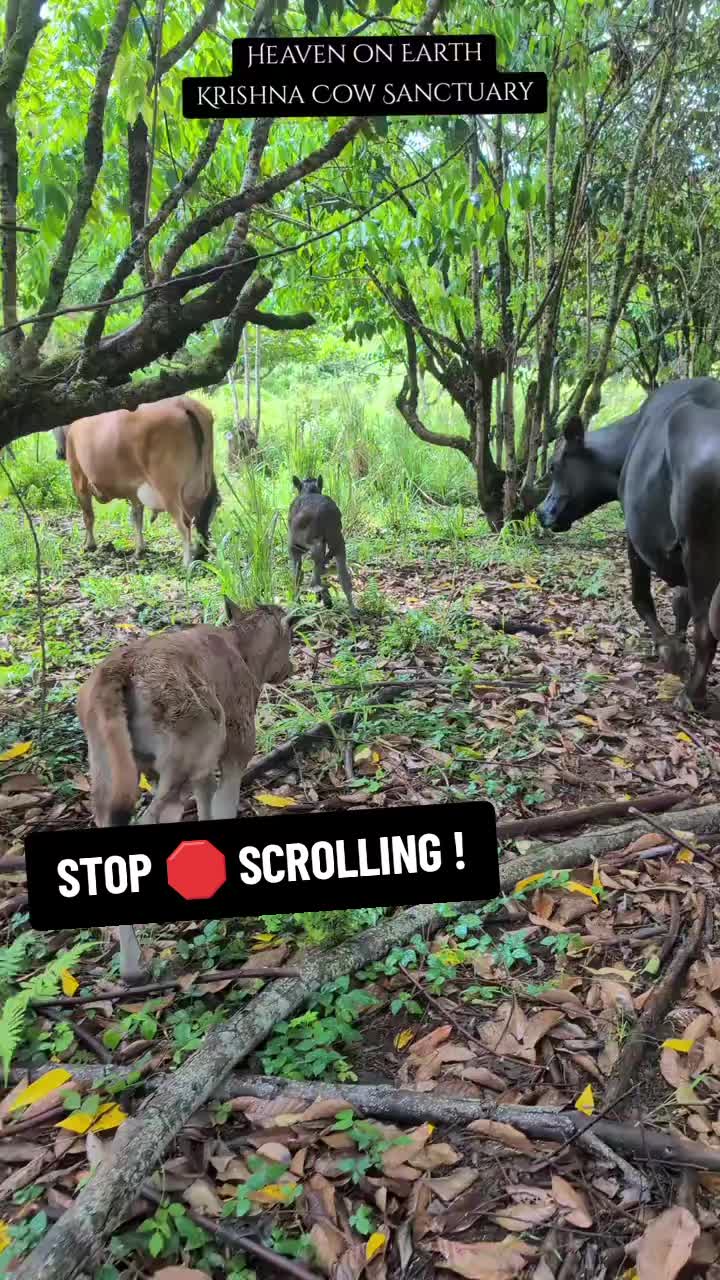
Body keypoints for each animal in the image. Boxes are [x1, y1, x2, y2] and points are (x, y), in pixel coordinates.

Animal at [64, 395, 220, 566]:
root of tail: (183, 403)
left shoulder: (78, 477)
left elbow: (88, 515)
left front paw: (89, 545)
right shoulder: (134, 489)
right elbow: (136, 517)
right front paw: (140, 550)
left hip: (167, 487)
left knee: (184, 524)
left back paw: (186, 563)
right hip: (205, 478)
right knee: (205, 516)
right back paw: (200, 554)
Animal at [536, 377, 720, 716]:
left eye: (554, 466)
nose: (543, 513)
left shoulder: (637, 537)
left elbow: (642, 598)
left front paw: (669, 650)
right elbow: (680, 603)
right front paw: (677, 646)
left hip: (703, 550)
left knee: (706, 630)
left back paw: (693, 695)